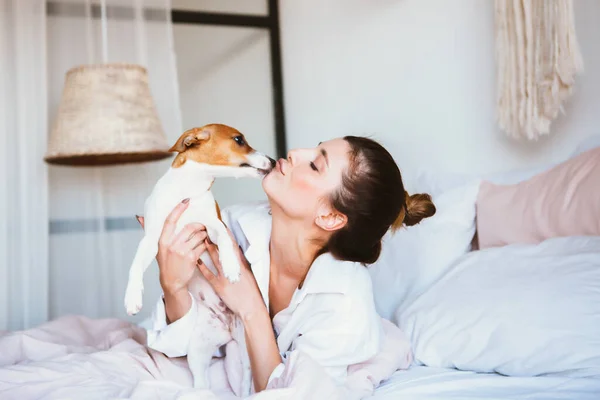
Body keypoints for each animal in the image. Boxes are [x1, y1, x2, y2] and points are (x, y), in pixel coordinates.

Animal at [124, 123, 274, 392]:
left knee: (246, 383)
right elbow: (135, 266)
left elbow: (223, 237)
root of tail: (226, 330)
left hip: (246, 356)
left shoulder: (211, 228)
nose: (274, 161)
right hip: (197, 354)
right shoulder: (152, 239)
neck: (187, 191)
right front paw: (132, 298)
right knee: (202, 383)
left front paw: (231, 266)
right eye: (239, 140)